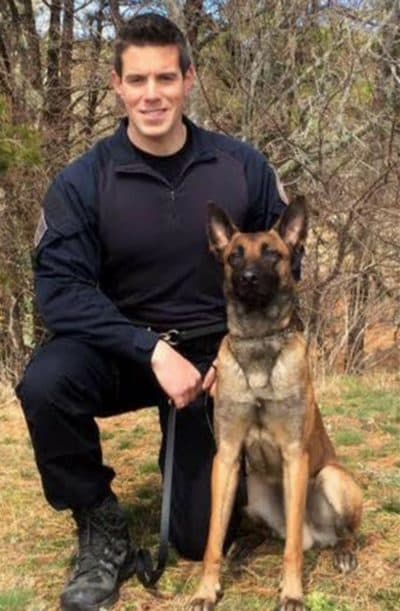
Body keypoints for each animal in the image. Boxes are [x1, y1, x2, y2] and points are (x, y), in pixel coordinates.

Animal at [191, 198, 362, 608]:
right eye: (234, 256)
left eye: (273, 254)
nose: (248, 278)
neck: (258, 341)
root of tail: (320, 537)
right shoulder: (227, 457)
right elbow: (212, 539)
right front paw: (207, 588)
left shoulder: (295, 456)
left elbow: (293, 550)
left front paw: (293, 592)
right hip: (250, 496)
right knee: (271, 534)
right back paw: (243, 547)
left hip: (332, 479)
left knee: (332, 533)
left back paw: (344, 551)